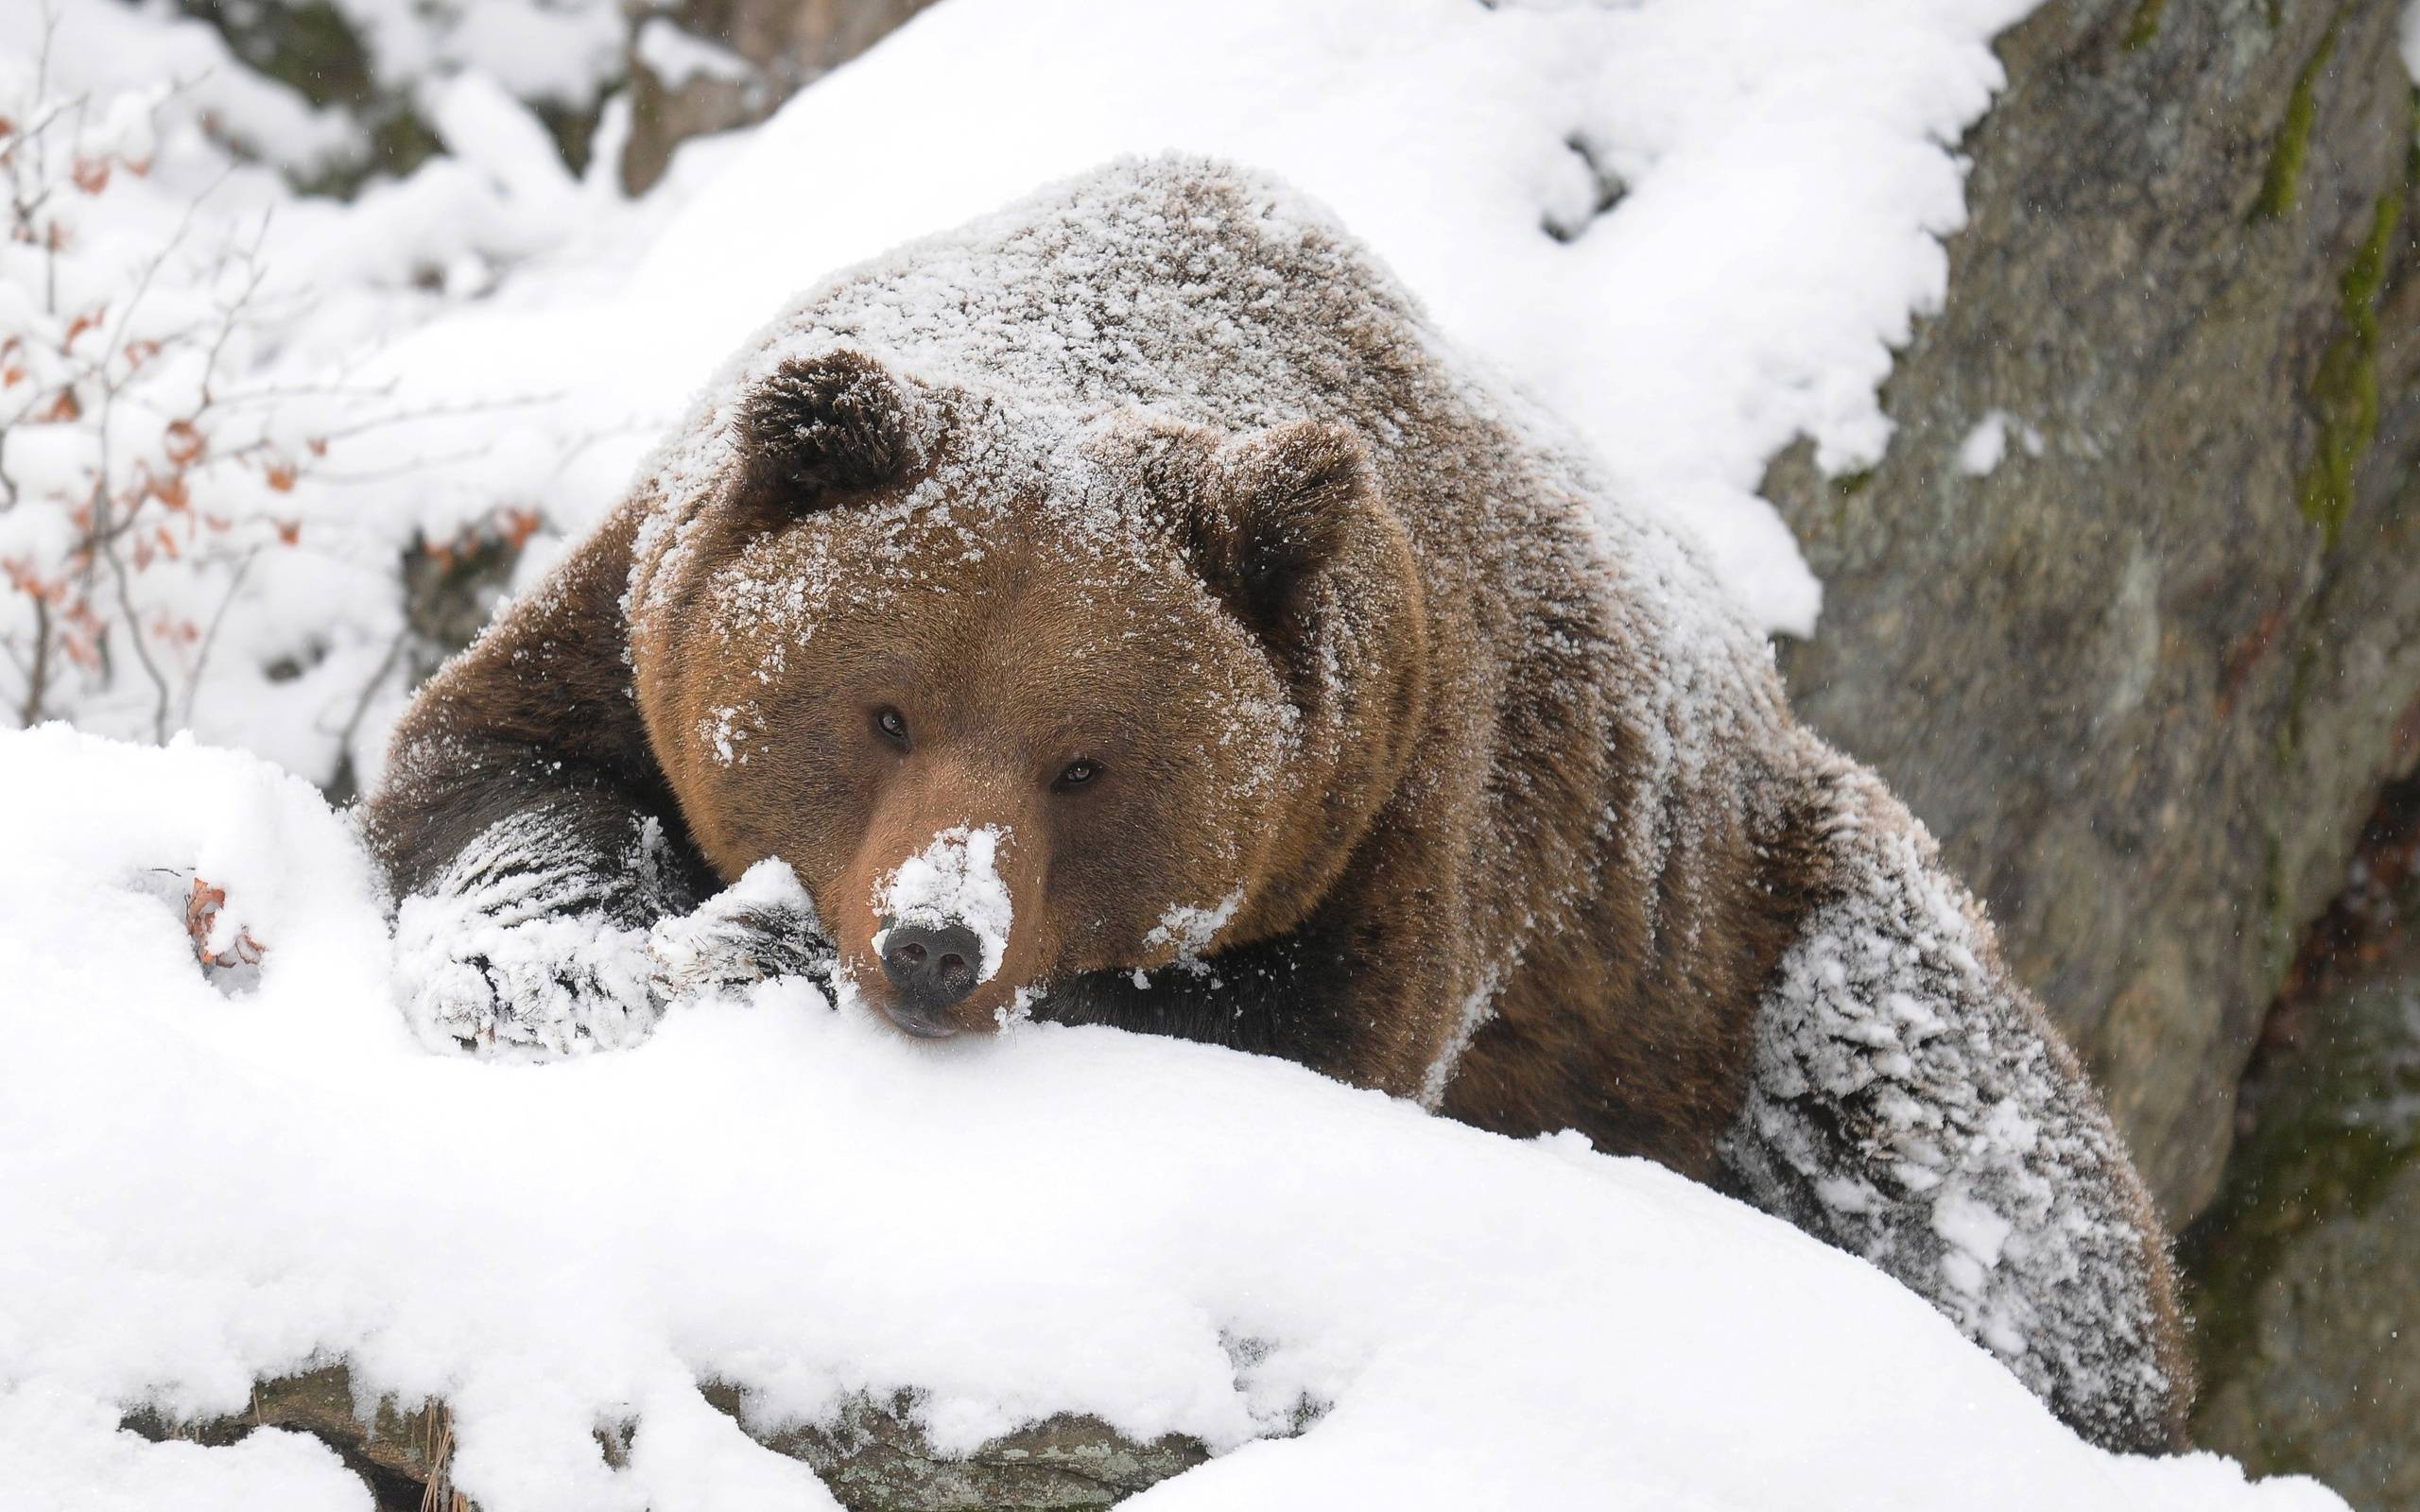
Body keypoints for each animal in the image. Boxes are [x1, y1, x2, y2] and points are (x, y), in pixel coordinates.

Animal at [363, 155, 2191, 1453]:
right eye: (883, 709)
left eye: (1086, 762)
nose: (938, 942)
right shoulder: (637, 607)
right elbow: (493, 766)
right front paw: (555, 964)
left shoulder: (1401, 804)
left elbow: (1285, 1033)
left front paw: (759, 950)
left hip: (1752, 943)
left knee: (1973, 1167)